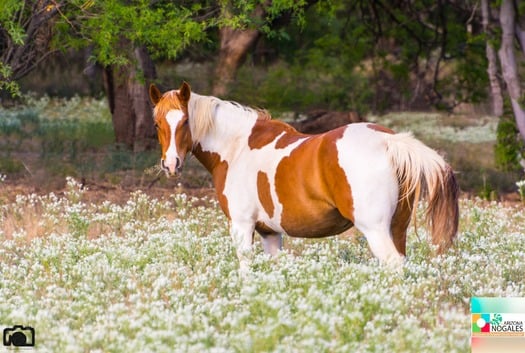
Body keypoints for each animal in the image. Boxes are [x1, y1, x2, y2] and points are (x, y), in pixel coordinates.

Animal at [148, 82, 458, 270]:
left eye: (185, 121)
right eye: (157, 123)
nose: (171, 164)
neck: (236, 147)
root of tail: (388, 141)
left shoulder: (242, 226)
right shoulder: (270, 233)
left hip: (376, 230)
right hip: (397, 228)